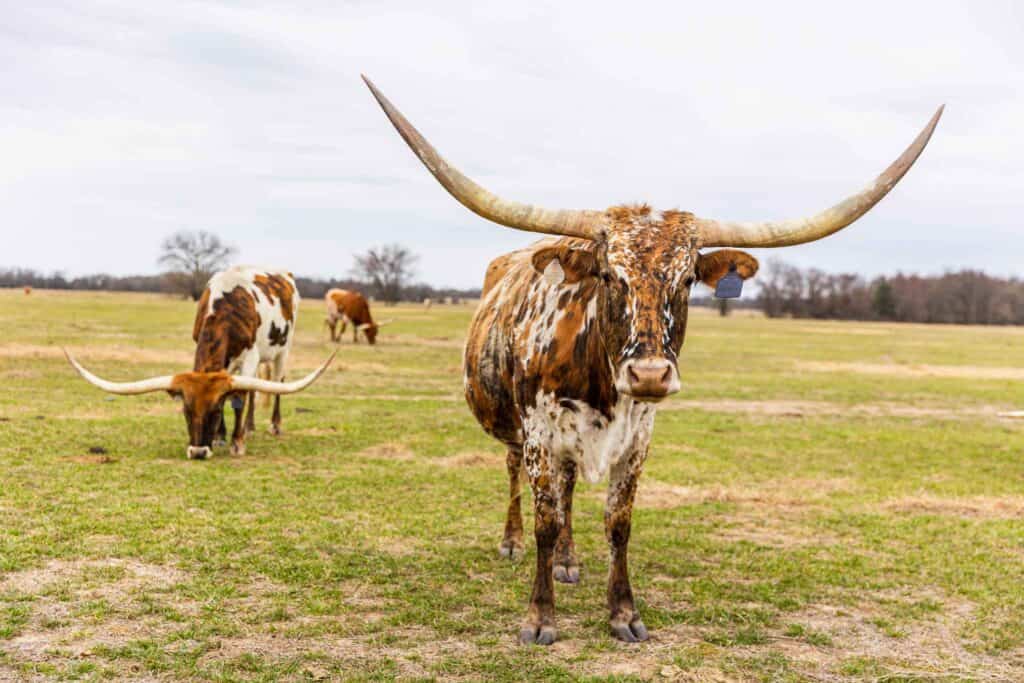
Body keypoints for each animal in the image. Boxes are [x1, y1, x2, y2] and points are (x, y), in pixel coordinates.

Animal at [64, 266, 333, 458]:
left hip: (282, 350)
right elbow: (237, 396)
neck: (225, 308)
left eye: (214, 412)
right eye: (186, 410)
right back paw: (250, 426)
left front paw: (237, 443)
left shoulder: (251, 356)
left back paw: (273, 426)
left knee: (276, 383)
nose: (198, 452)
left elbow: (239, 399)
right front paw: (221, 436)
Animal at [362, 76, 942, 647]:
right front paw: (539, 618)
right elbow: (546, 518)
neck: (600, 384)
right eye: (608, 275)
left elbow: (618, 522)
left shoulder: (637, 438)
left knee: (569, 491)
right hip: (515, 432)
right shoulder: (540, 435)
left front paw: (623, 613)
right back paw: (512, 542)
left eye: (687, 280)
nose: (649, 374)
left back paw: (569, 561)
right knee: (515, 478)